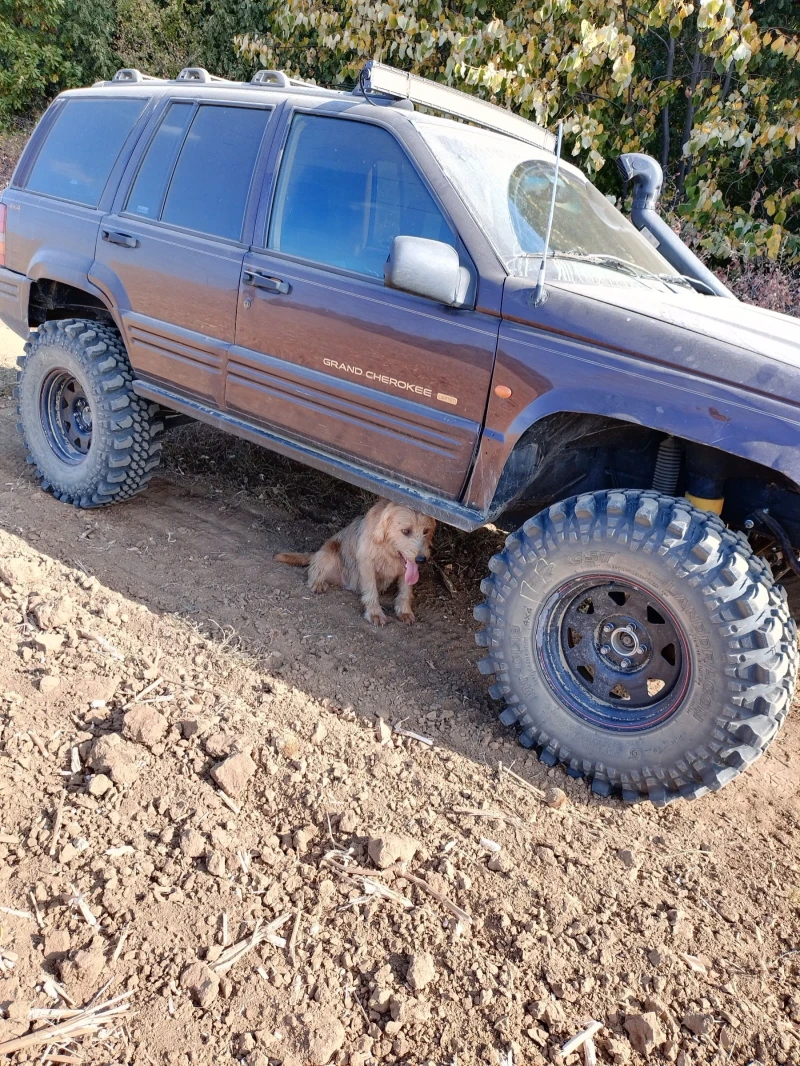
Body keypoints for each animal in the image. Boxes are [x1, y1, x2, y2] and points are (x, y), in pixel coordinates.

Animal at [277, 498, 439, 622]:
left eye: (426, 531)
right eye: (405, 531)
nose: (421, 559)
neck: (387, 548)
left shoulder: (408, 569)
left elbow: (406, 591)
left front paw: (404, 611)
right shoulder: (367, 564)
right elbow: (371, 591)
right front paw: (374, 613)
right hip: (329, 554)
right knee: (313, 569)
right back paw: (317, 583)